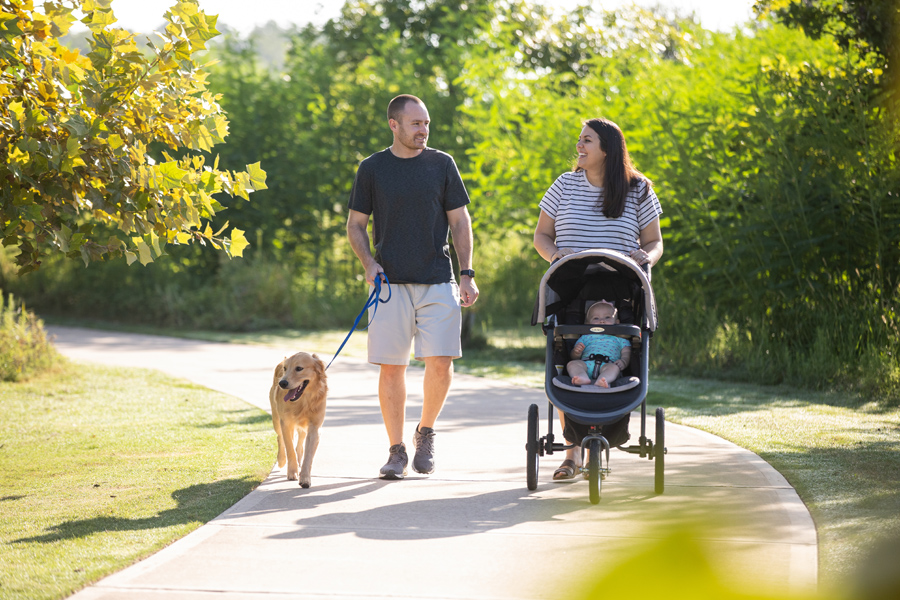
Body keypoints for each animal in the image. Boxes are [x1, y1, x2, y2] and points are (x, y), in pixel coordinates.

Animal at [268, 352, 328, 488]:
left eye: (299, 368)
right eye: (285, 368)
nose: (282, 383)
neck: (303, 401)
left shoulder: (314, 428)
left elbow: (308, 456)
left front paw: (305, 478)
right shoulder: (286, 423)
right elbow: (289, 449)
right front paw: (292, 472)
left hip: (303, 428)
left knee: (300, 444)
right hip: (276, 419)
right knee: (280, 438)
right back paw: (281, 460)